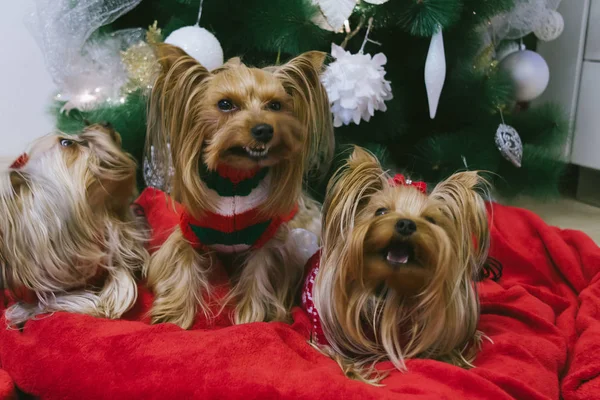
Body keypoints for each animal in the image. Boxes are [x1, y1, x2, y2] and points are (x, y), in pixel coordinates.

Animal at [0, 124, 146, 324]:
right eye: (66, 142)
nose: (105, 124)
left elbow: (121, 268)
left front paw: (116, 296)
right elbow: (58, 301)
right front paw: (98, 305)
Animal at [144, 43, 336, 328]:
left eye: (275, 105)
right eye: (225, 104)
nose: (264, 129)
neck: (235, 179)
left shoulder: (265, 238)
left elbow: (258, 273)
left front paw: (253, 318)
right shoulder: (189, 232)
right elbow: (182, 265)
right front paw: (173, 316)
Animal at [302, 146, 494, 382]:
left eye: (430, 220)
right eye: (381, 211)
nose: (406, 224)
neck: (393, 286)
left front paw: (454, 360)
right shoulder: (327, 336)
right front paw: (358, 374)